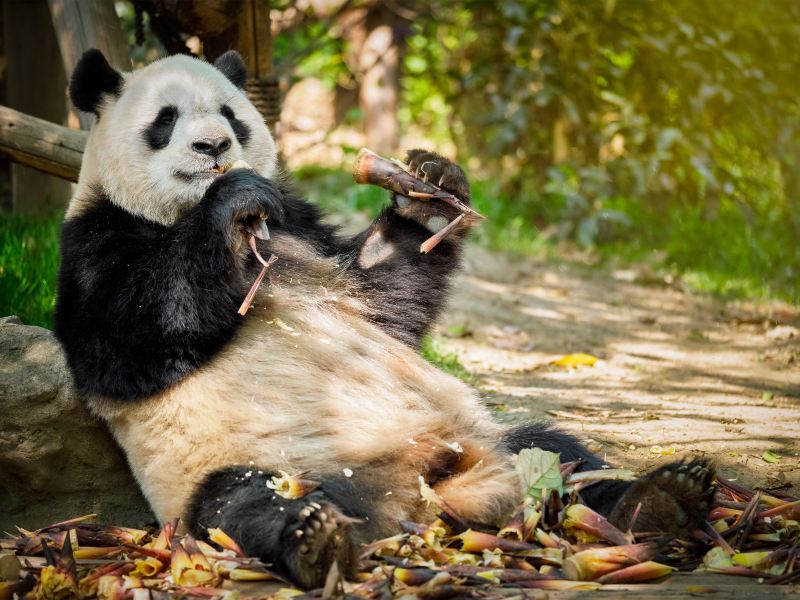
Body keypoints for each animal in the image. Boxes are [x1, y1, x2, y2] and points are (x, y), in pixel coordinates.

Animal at [56, 49, 716, 588]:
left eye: (230, 114)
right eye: (165, 120)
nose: (214, 147)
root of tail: (419, 493)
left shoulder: (304, 233)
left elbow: (386, 298)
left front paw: (428, 188)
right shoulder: (93, 243)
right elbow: (129, 341)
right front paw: (233, 200)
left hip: (484, 436)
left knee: (561, 453)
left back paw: (662, 499)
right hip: (246, 466)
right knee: (242, 503)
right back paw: (315, 539)